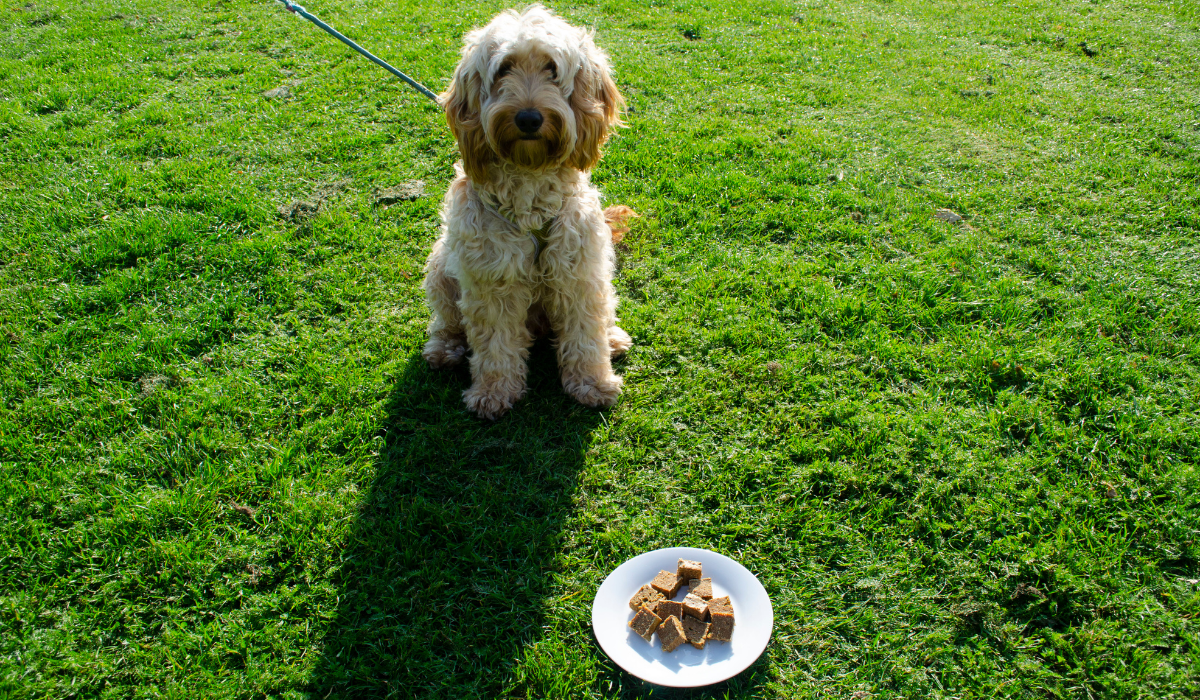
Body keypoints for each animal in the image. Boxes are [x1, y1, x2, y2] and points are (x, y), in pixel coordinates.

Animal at [420, 5, 633, 420]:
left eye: (552, 68)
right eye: (504, 69)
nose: (529, 119)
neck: (530, 190)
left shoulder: (579, 270)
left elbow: (585, 333)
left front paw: (593, 383)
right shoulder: (491, 279)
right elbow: (494, 342)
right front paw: (493, 392)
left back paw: (613, 336)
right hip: (441, 270)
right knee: (448, 322)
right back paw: (444, 349)